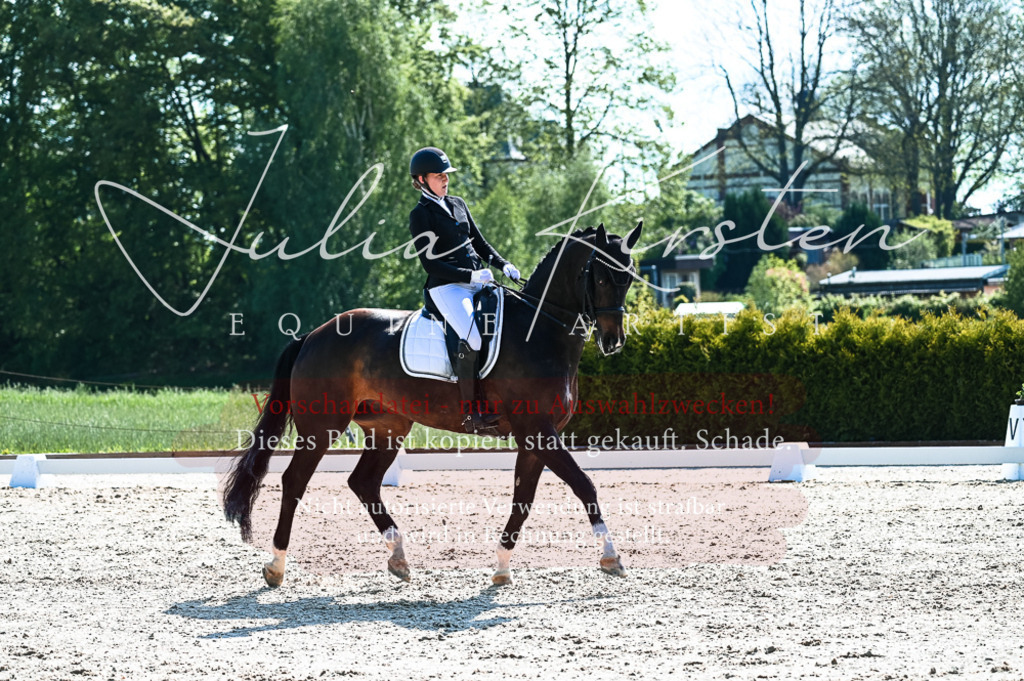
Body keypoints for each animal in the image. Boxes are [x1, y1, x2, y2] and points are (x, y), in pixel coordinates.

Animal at [223, 221, 643, 586]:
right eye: (602, 277)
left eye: (630, 275)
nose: (613, 341)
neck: (540, 330)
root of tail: (313, 334)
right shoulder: (537, 431)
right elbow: (584, 484)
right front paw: (611, 557)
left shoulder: (536, 437)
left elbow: (523, 500)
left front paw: (502, 568)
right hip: (322, 427)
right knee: (295, 481)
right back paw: (276, 566)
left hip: (387, 427)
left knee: (363, 483)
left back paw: (398, 558)